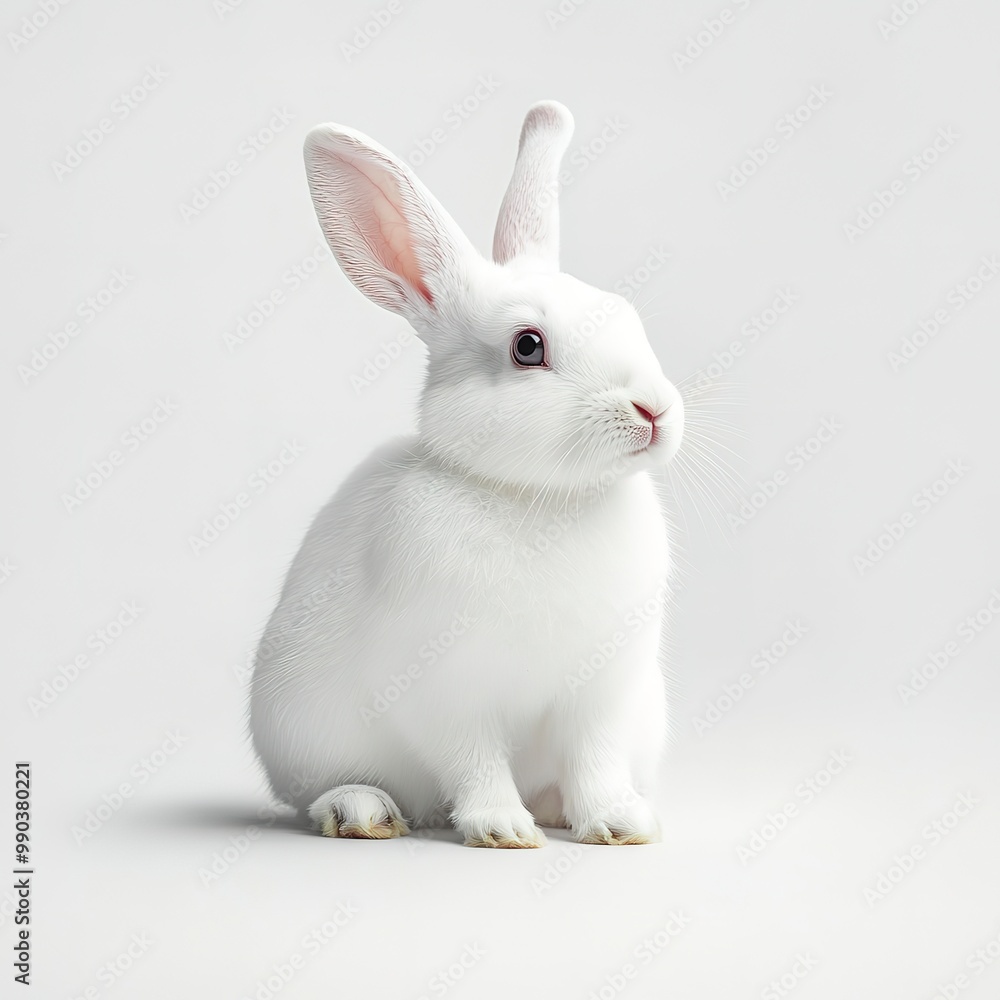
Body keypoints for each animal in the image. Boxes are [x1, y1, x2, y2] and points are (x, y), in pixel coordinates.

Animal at [249, 100, 684, 848]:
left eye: (627, 316)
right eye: (528, 347)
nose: (653, 410)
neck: (540, 498)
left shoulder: (603, 691)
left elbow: (595, 760)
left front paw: (619, 823)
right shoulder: (444, 690)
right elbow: (474, 761)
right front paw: (502, 829)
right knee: (327, 790)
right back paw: (362, 812)